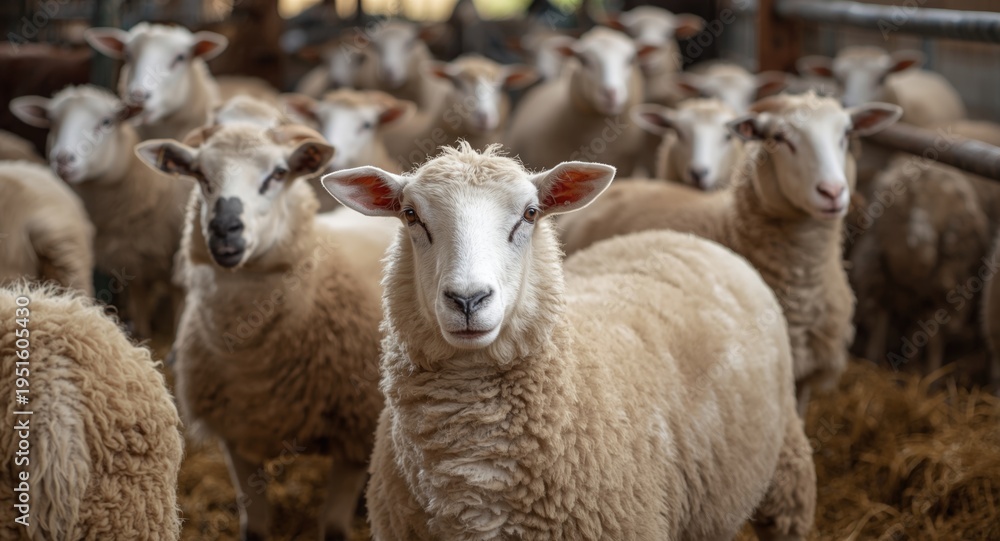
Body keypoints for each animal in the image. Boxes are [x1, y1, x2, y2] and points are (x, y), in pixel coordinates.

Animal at [10, 85, 193, 339]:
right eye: (51, 120)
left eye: (107, 122)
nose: (63, 159)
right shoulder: (133, 263)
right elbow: (140, 305)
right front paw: (141, 336)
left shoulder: (175, 268)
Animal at [135, 123, 384, 541]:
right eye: (200, 175)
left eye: (278, 173)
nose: (223, 228)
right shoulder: (237, 435)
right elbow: (255, 529)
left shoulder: (356, 434)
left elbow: (334, 529)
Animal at [848, 157, 991, 378]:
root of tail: (921, 207)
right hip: (951, 278)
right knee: (933, 335)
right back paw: (930, 377)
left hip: (875, 266)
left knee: (883, 317)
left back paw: (876, 364)